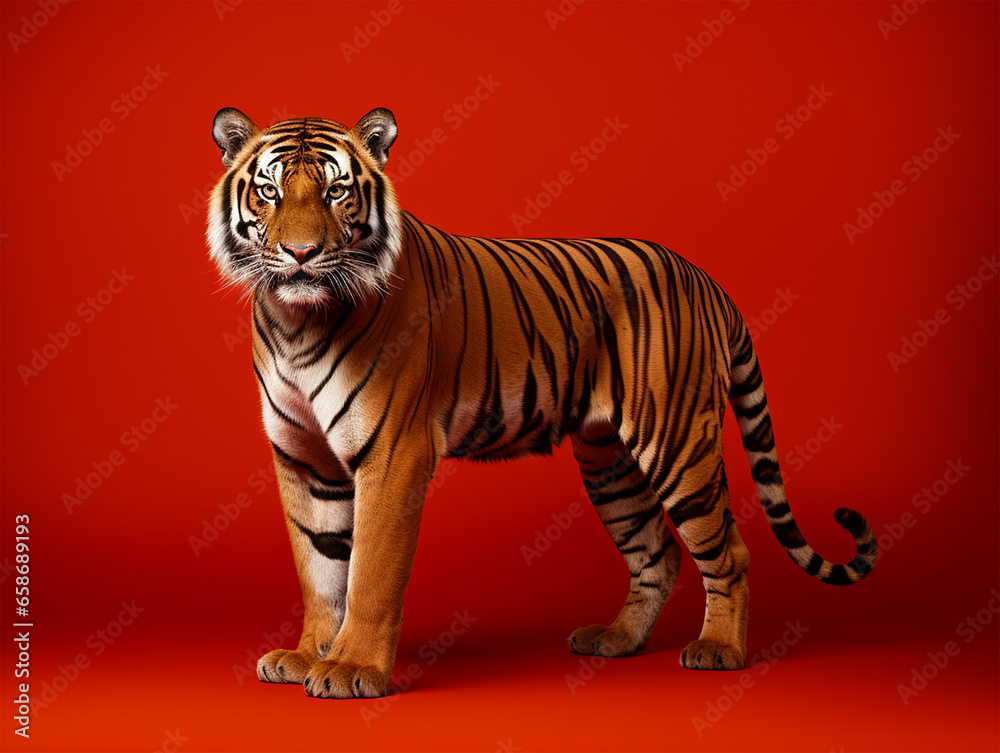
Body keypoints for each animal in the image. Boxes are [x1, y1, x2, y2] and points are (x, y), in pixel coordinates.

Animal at [206, 106, 877, 700]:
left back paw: (720, 651)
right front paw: (305, 656)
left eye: (336, 191)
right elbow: (320, 569)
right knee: (657, 552)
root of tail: (704, 279)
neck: (296, 323)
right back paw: (617, 640)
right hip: (610, 462)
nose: (300, 254)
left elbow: (367, 573)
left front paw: (351, 670)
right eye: (268, 193)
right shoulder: (304, 460)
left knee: (728, 549)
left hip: (678, 441)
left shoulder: (393, 457)